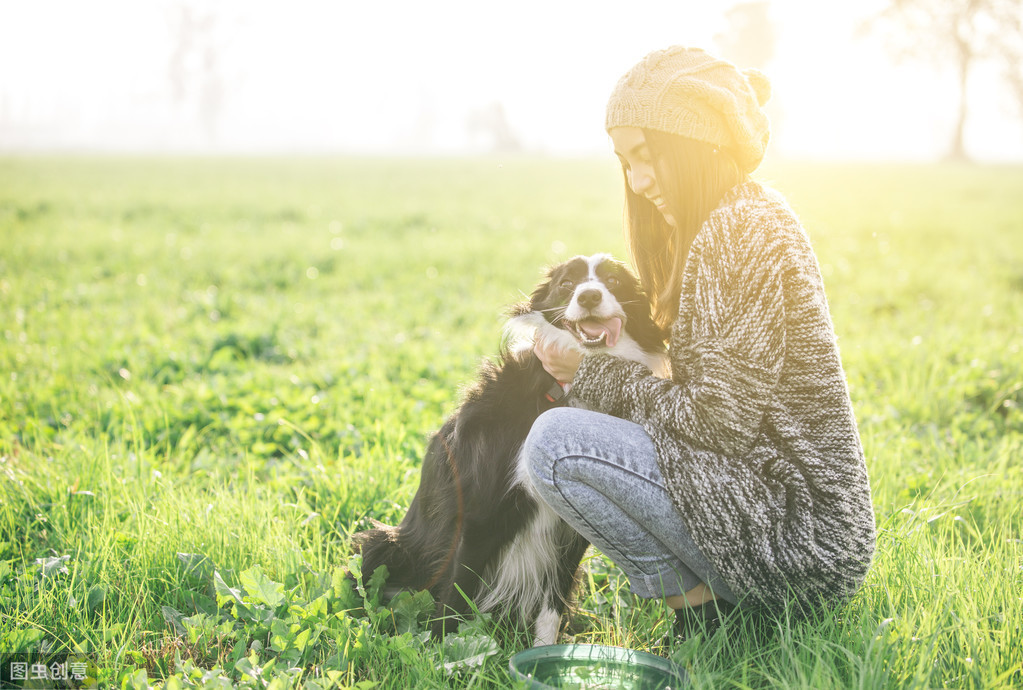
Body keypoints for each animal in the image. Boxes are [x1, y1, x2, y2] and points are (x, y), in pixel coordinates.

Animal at [353, 252, 671, 647]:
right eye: (567, 283)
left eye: (613, 281)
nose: (589, 297)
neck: (563, 390)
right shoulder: (480, 512)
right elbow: (456, 596)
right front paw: (444, 654)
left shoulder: (571, 527)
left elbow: (552, 605)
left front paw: (544, 652)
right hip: (382, 544)